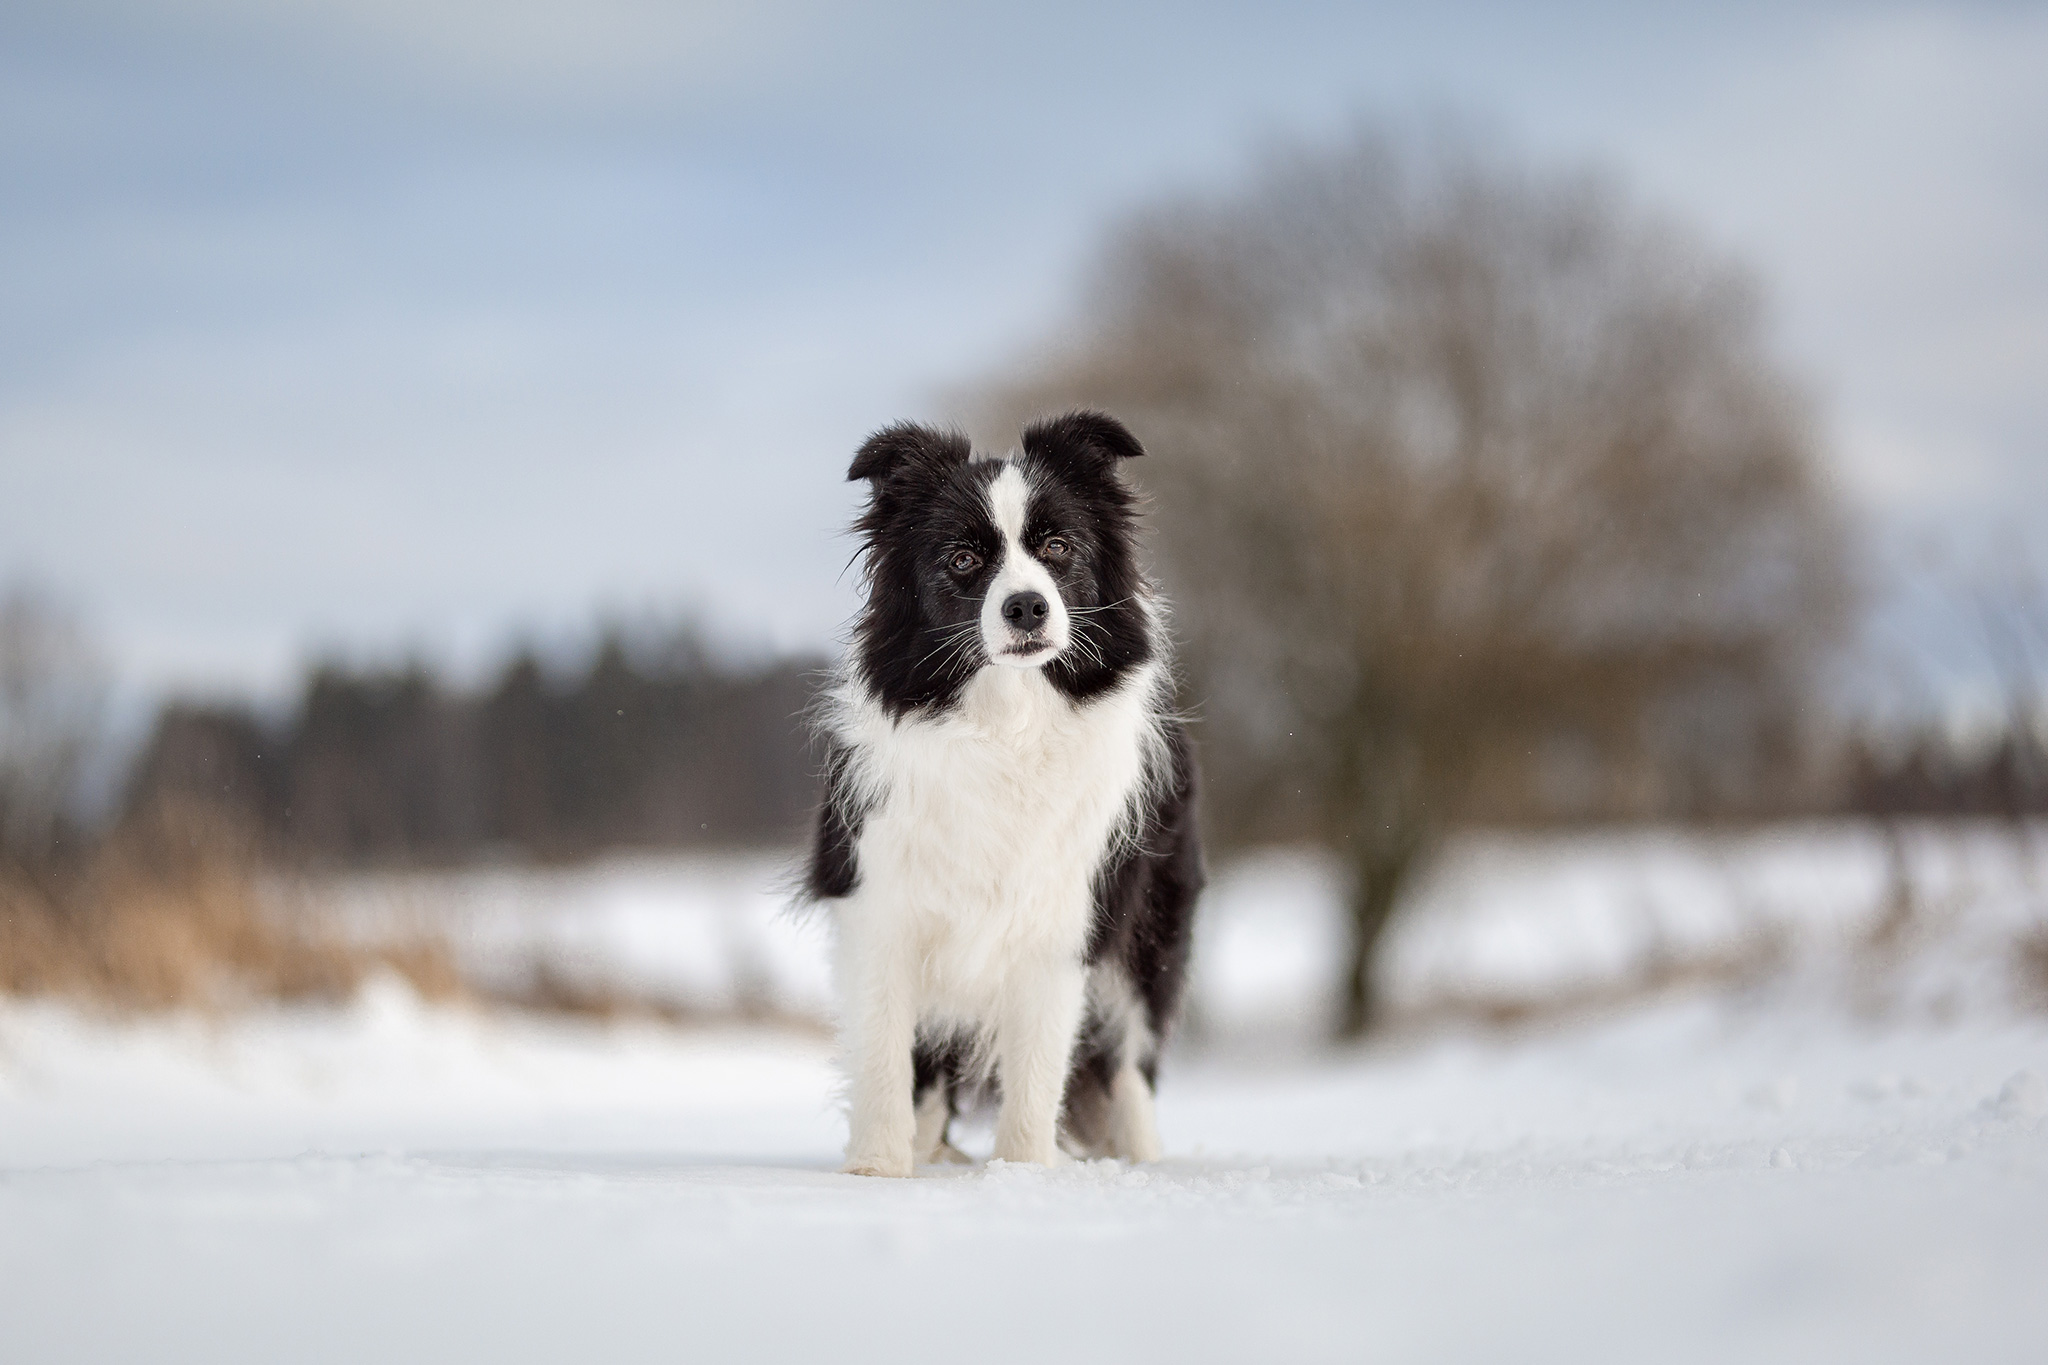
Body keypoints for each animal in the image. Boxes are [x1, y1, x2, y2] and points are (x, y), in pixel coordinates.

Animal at [802, 405, 1196, 1178]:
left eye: (1058, 546)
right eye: (963, 559)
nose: (1026, 607)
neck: (1006, 722)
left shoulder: (1065, 913)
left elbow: (1039, 1066)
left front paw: (1023, 1173)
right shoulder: (878, 899)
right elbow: (886, 1050)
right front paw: (878, 1168)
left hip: (1148, 930)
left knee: (1130, 1056)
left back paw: (1142, 1159)